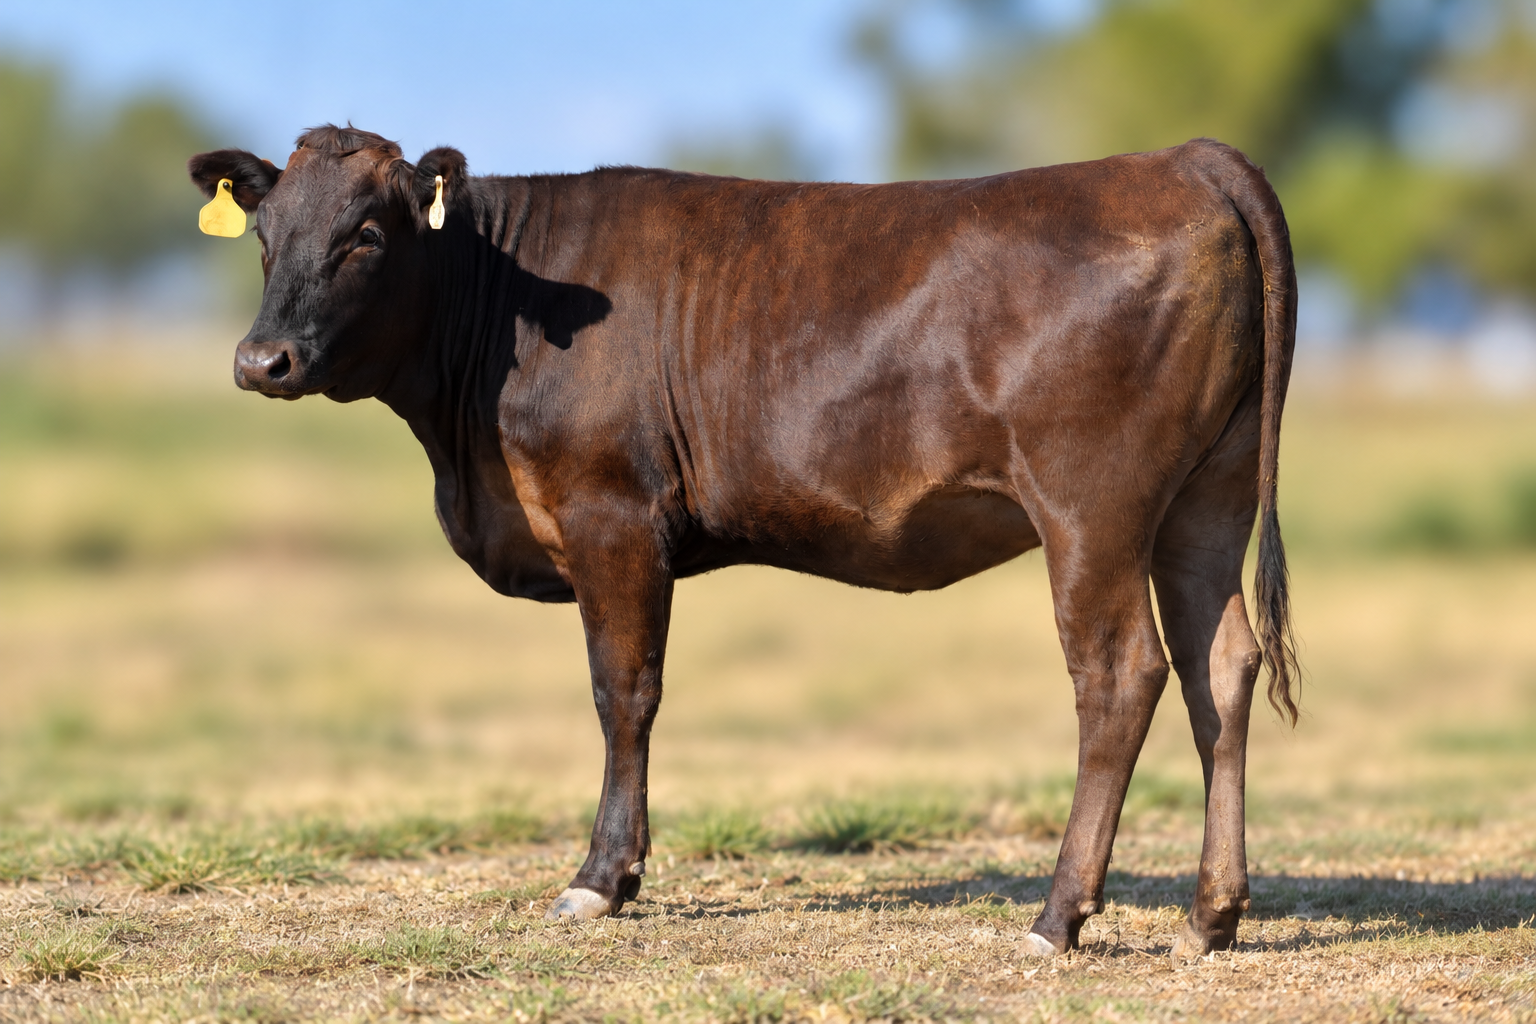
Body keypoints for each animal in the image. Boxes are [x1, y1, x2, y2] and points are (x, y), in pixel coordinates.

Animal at [188, 125, 1297, 959]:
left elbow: (624, 691)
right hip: (1206, 500)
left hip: (1090, 508)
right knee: (1220, 665)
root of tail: (1181, 158)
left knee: (1121, 675)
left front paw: (602, 879)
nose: (261, 359)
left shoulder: (611, 513)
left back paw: (1058, 916)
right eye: (266, 231)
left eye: (367, 234)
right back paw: (1210, 916)